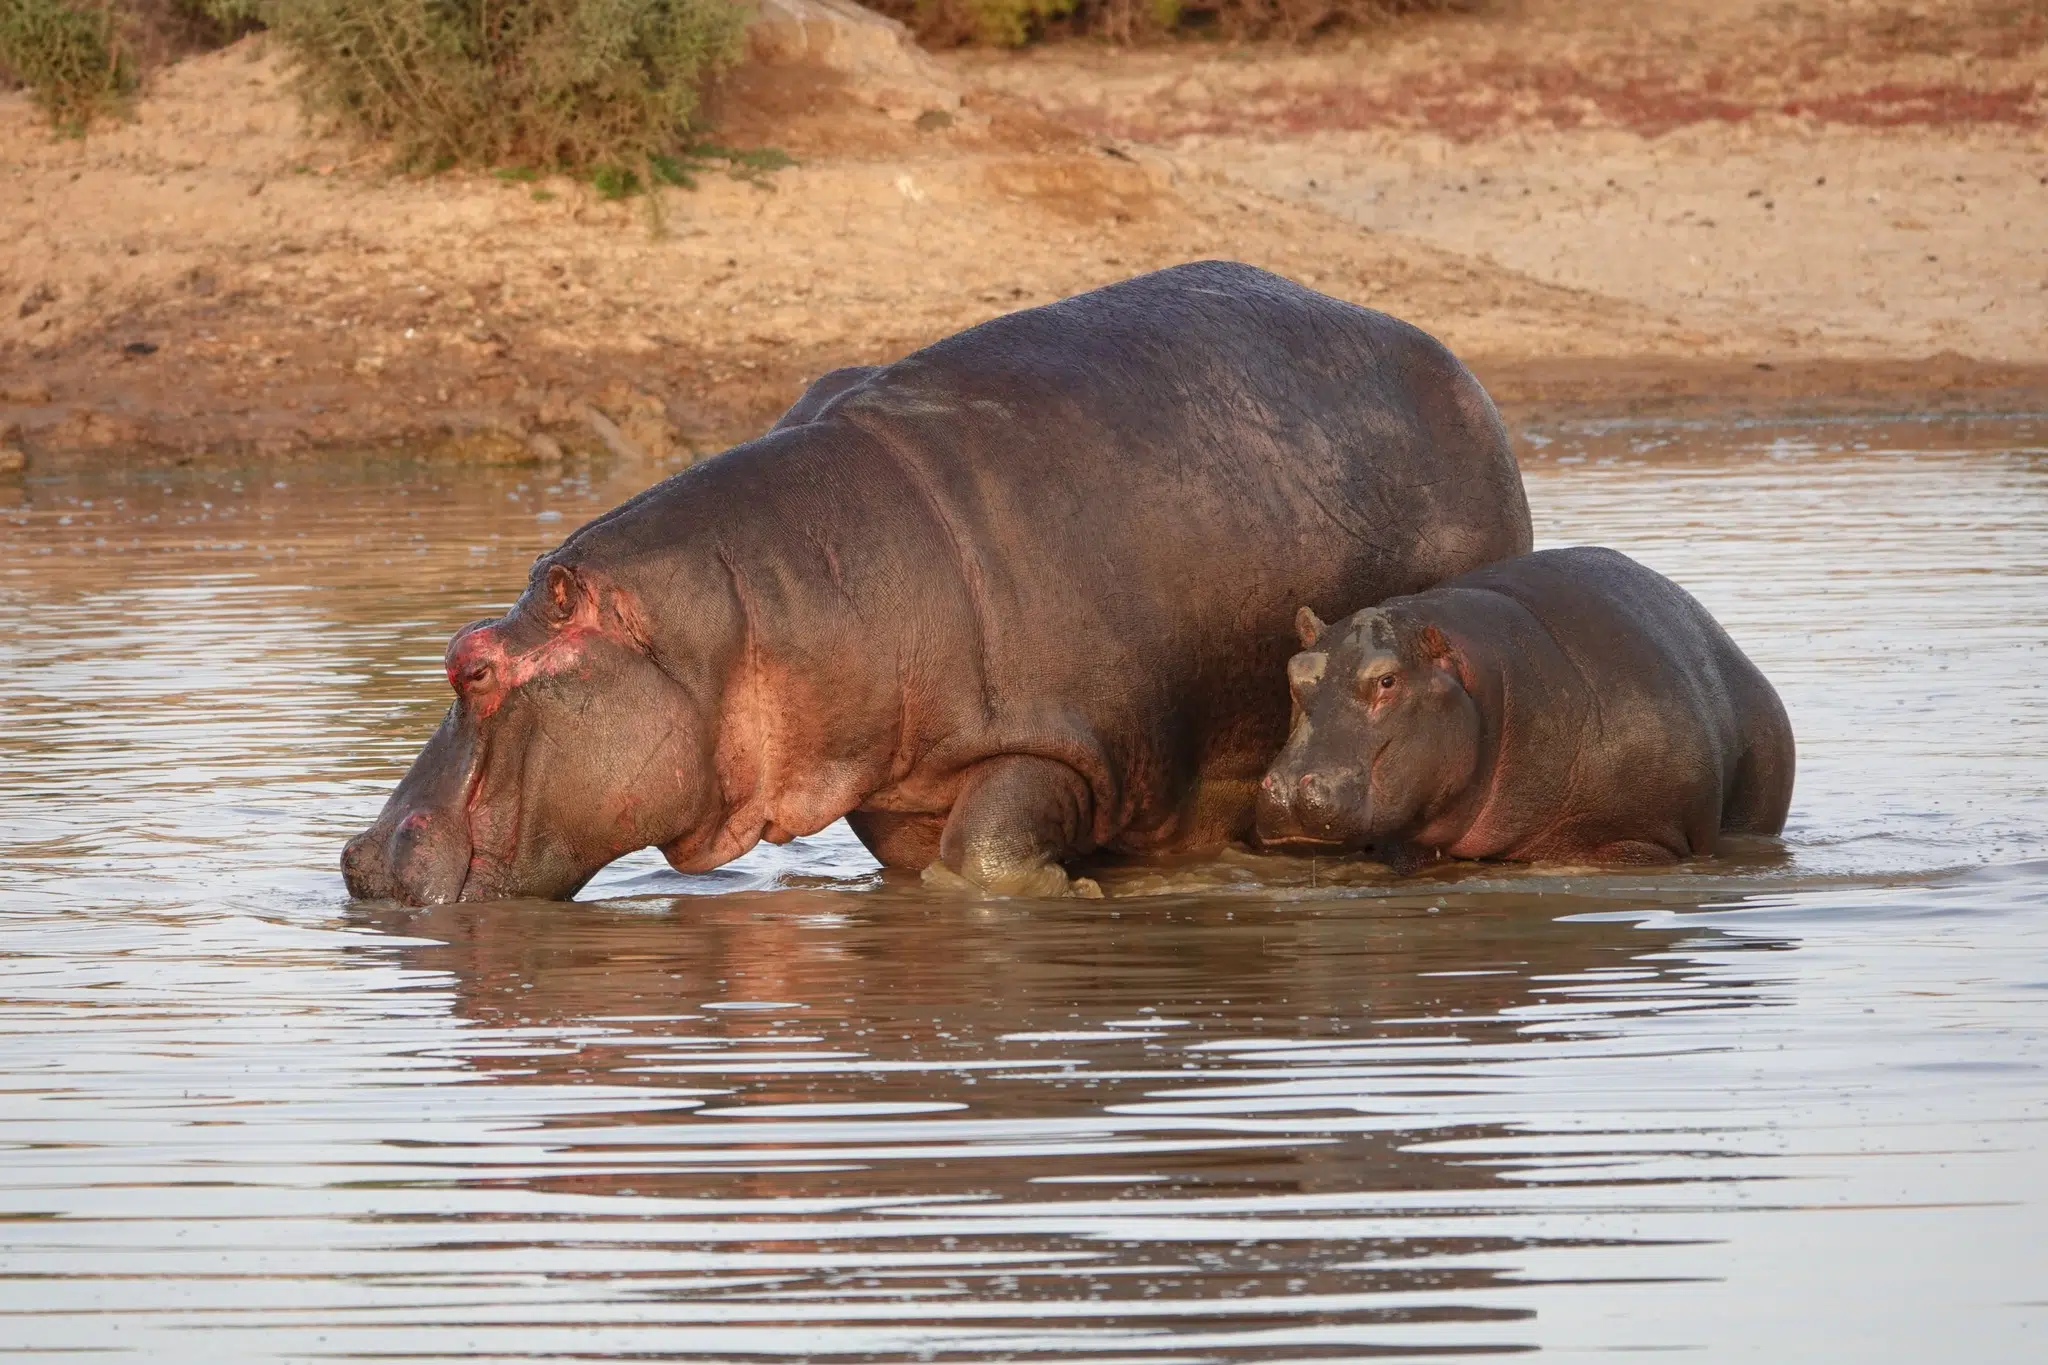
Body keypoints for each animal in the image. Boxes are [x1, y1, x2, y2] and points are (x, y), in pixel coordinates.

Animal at [341, 260, 1533, 904]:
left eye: (471, 665)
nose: (355, 856)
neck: (733, 621)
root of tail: (1458, 372)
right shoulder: (894, 790)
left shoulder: (1054, 742)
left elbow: (991, 855)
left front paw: (1065, 893)